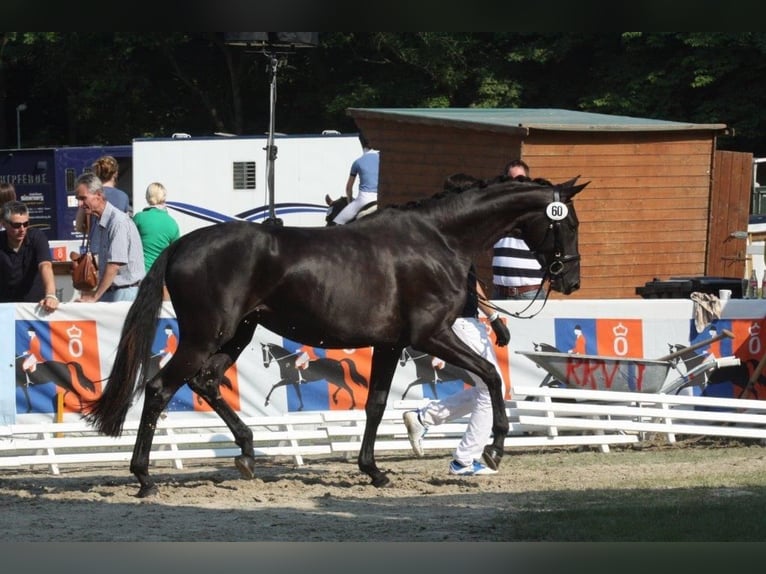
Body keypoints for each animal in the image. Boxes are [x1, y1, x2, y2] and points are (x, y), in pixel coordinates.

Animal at [85, 172, 588, 500]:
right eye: (568, 221)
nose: (570, 280)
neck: (437, 239)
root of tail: (181, 245)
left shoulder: (390, 344)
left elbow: (377, 404)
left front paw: (374, 471)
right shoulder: (432, 335)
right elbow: (491, 375)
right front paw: (495, 448)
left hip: (236, 335)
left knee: (204, 382)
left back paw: (246, 453)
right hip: (207, 336)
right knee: (158, 388)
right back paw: (144, 477)